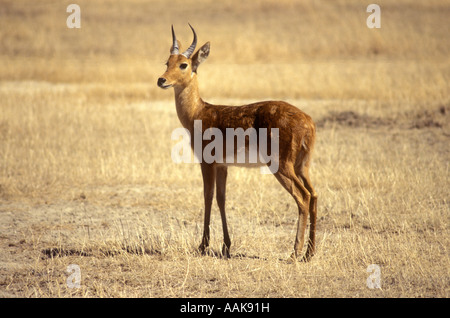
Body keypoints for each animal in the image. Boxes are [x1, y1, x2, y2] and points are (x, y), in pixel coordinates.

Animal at [157, 24, 316, 260]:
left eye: (183, 64)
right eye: (167, 62)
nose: (162, 80)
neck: (200, 112)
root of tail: (308, 121)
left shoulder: (207, 163)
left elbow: (207, 196)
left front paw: (203, 246)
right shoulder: (223, 165)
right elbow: (221, 199)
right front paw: (226, 246)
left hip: (281, 166)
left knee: (303, 197)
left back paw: (295, 252)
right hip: (302, 167)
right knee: (314, 195)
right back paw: (310, 252)